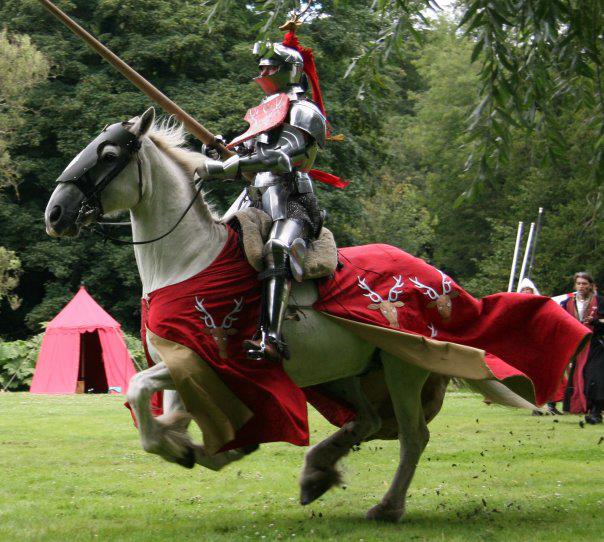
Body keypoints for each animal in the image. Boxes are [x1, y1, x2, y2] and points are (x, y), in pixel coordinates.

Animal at [44, 109, 532, 524]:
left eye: (109, 154)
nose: (55, 212)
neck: (188, 259)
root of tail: (435, 277)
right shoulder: (184, 364)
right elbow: (168, 420)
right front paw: (201, 448)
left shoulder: (206, 358)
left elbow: (139, 391)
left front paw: (193, 449)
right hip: (343, 373)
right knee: (370, 421)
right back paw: (317, 472)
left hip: (405, 365)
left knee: (413, 437)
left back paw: (386, 507)